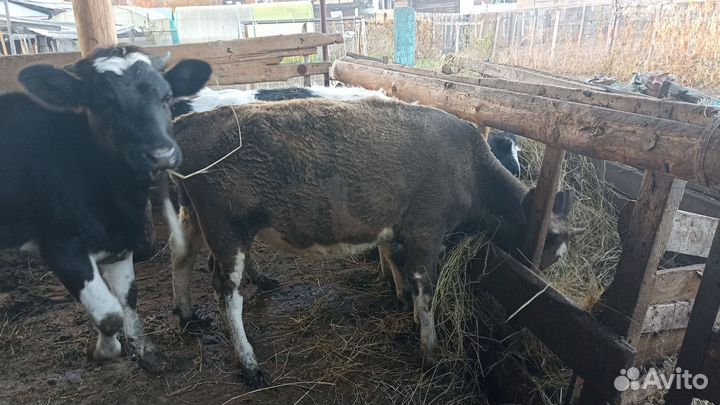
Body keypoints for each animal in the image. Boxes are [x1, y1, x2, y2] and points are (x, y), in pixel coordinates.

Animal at [0, 46, 211, 371]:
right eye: (103, 102)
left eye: (167, 97)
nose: (161, 154)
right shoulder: (60, 248)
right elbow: (109, 314)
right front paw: (101, 350)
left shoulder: (120, 245)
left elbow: (128, 299)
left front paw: (145, 351)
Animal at [168, 97, 581, 387]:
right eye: (550, 251)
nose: (539, 277)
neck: (468, 167)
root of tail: (193, 121)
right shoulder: (425, 232)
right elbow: (425, 290)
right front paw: (430, 350)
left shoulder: (399, 231)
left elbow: (401, 270)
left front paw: (404, 305)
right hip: (227, 230)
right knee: (227, 293)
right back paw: (249, 363)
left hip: (194, 217)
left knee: (183, 259)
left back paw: (188, 316)